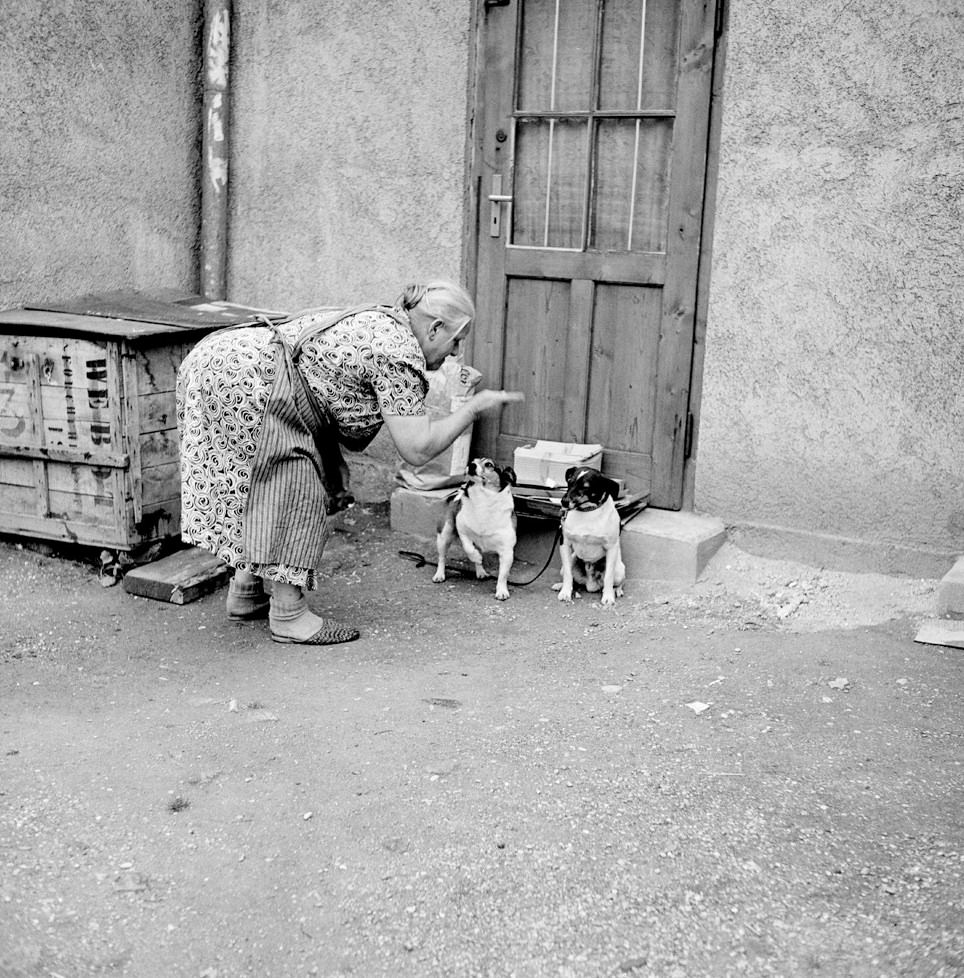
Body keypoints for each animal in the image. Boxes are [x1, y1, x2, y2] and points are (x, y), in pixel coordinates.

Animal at [434, 456, 516, 600]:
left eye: (489, 464)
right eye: (473, 460)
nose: (471, 465)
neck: (483, 499)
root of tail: (456, 493)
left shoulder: (507, 551)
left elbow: (503, 575)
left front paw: (501, 591)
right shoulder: (463, 531)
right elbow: (469, 549)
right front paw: (476, 557)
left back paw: (481, 572)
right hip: (444, 534)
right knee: (442, 557)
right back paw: (440, 574)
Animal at [552, 464, 628, 608]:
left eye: (586, 487)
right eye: (569, 482)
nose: (563, 502)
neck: (587, 512)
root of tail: (590, 584)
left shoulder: (612, 547)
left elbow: (608, 577)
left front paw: (608, 597)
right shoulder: (565, 543)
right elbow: (568, 576)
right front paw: (565, 592)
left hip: (620, 571)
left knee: (617, 582)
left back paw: (617, 590)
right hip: (568, 564)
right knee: (571, 578)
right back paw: (562, 586)